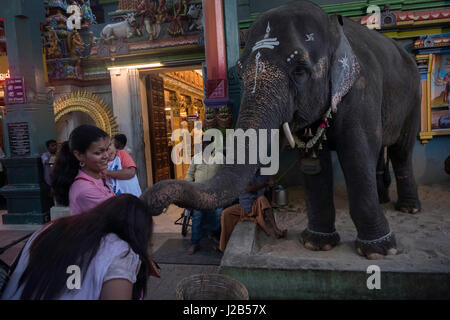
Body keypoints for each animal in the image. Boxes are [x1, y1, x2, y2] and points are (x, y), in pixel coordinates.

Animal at [142, 0, 422, 260]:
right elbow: (314, 164)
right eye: (240, 74)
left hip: (414, 97)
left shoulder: (361, 90)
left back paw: (409, 209)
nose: (151, 202)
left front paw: (379, 252)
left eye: (299, 70)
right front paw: (316, 244)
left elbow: (357, 155)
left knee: (401, 151)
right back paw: (385, 200)